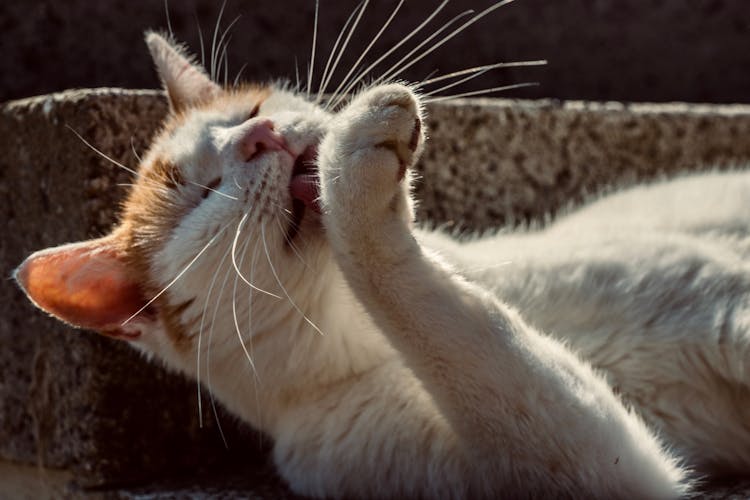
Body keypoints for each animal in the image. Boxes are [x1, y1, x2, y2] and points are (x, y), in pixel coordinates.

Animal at [11, 20, 750, 500]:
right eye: (202, 192)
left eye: (249, 110)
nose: (261, 135)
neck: (359, 333)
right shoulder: (610, 467)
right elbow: (451, 325)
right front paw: (351, 157)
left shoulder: (721, 302)